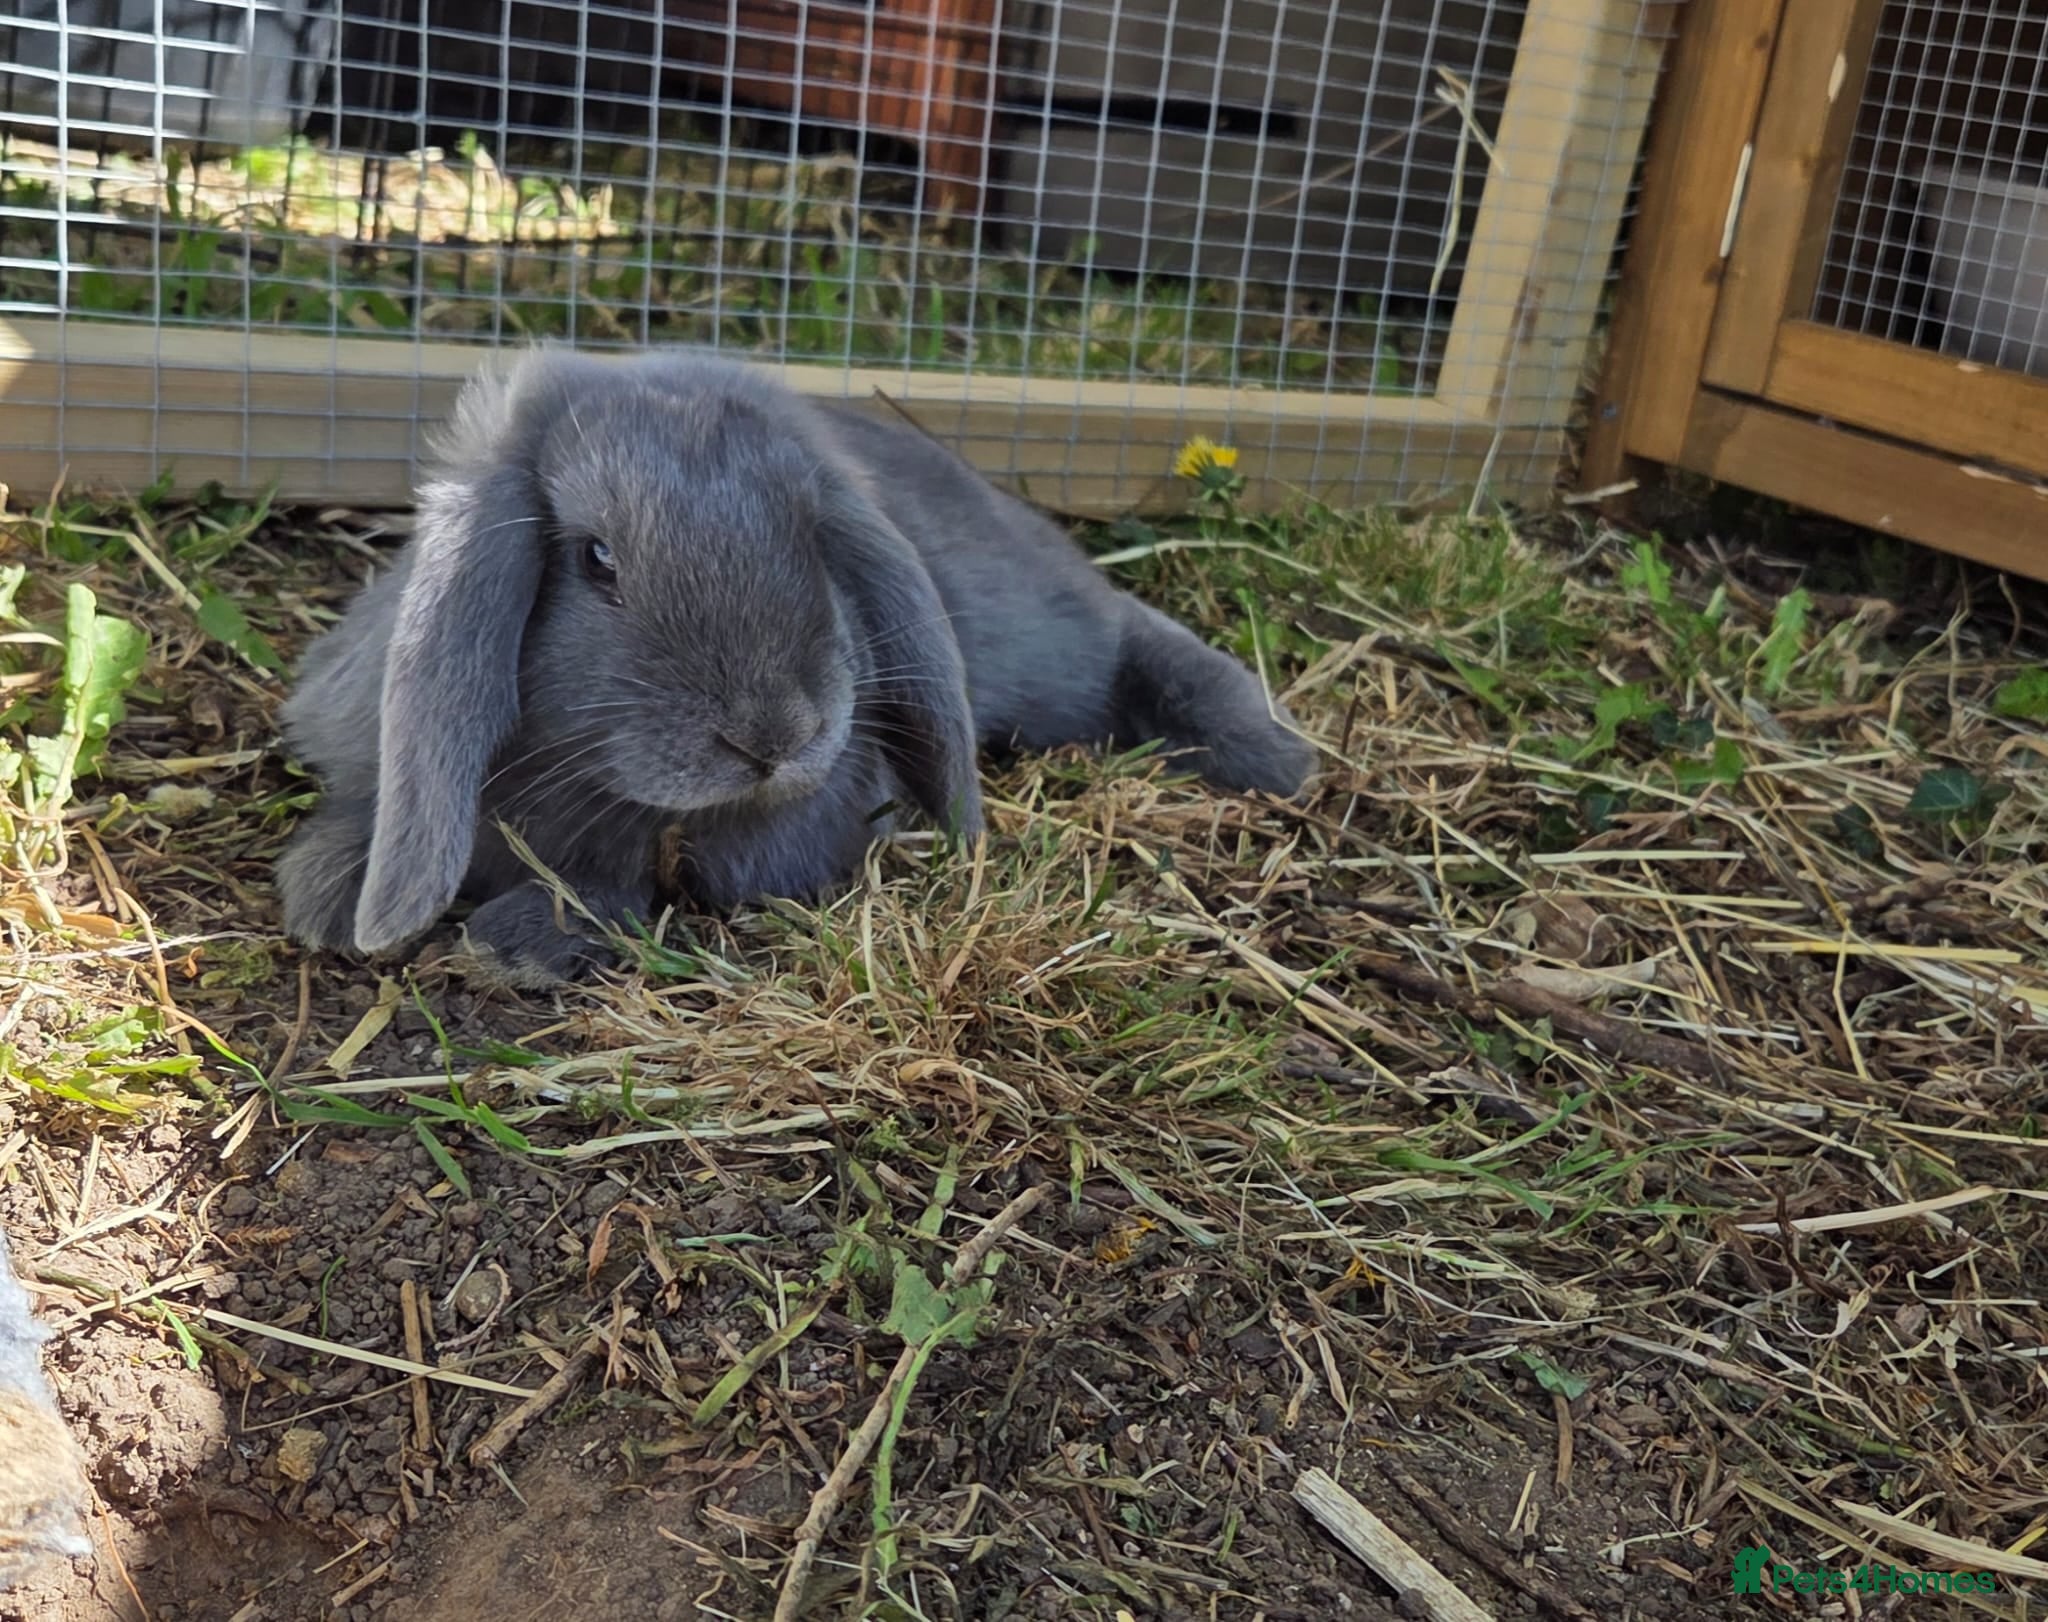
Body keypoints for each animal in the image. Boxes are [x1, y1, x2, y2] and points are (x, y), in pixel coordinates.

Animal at [274, 345, 1314, 984]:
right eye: (596, 558)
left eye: (813, 542)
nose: (774, 738)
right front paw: (328, 894)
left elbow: (623, 884)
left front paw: (516, 944)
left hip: (1054, 645)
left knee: (1133, 639)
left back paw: (1275, 757)